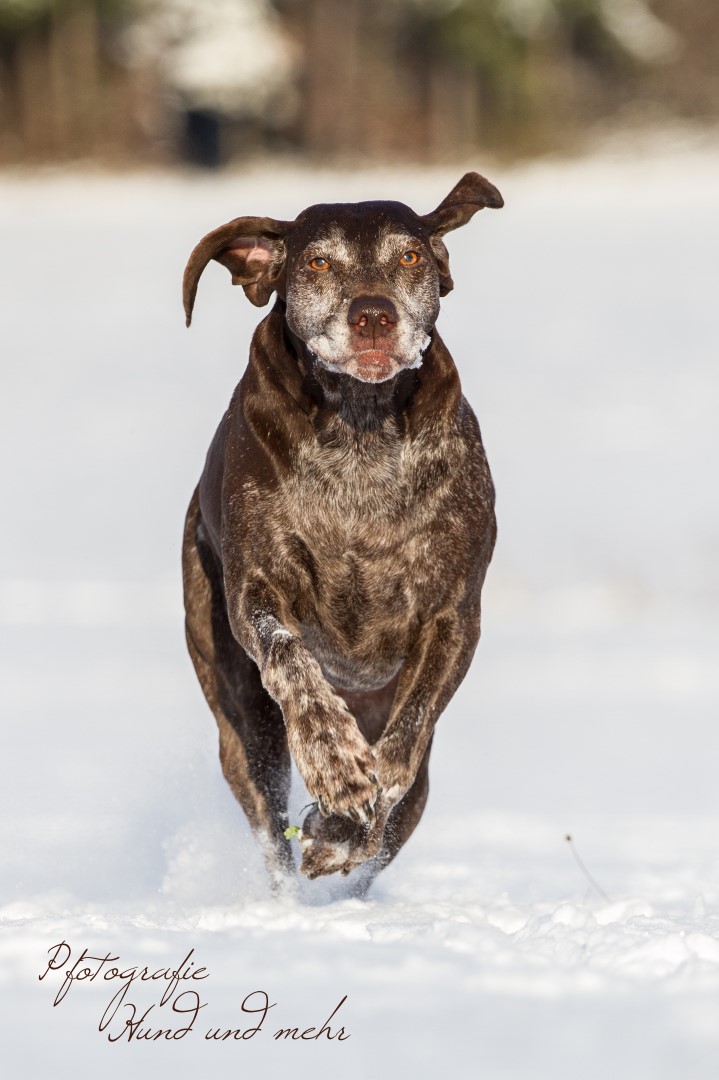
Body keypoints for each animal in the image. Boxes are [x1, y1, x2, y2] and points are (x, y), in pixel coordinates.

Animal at [182, 172, 500, 889]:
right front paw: (334, 763)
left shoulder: (453, 616)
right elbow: (290, 660)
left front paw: (345, 821)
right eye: (318, 263)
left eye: (409, 256)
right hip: (239, 722)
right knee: (267, 814)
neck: (360, 431)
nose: (373, 314)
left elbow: (406, 739)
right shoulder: (256, 591)